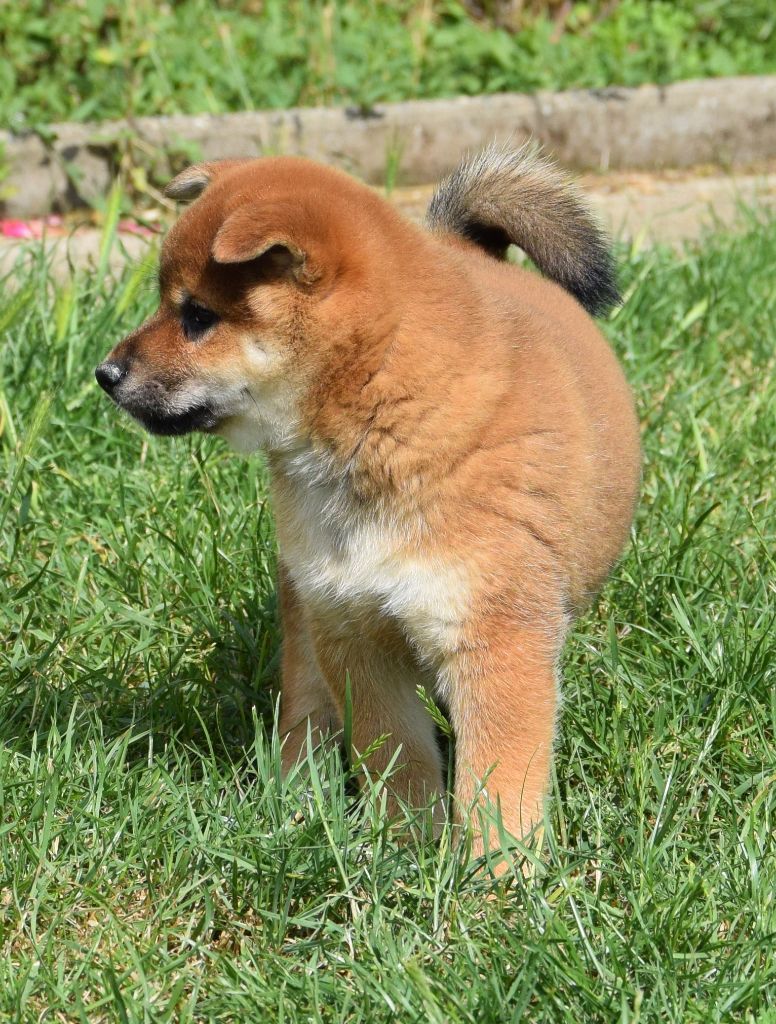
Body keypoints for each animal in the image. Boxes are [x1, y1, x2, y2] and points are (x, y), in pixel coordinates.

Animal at [96, 144, 640, 857]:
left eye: (197, 315)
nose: (105, 374)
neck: (388, 420)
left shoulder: (497, 638)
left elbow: (499, 784)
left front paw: (496, 874)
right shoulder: (351, 629)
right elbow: (395, 755)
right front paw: (406, 847)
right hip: (304, 616)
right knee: (304, 715)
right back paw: (294, 807)